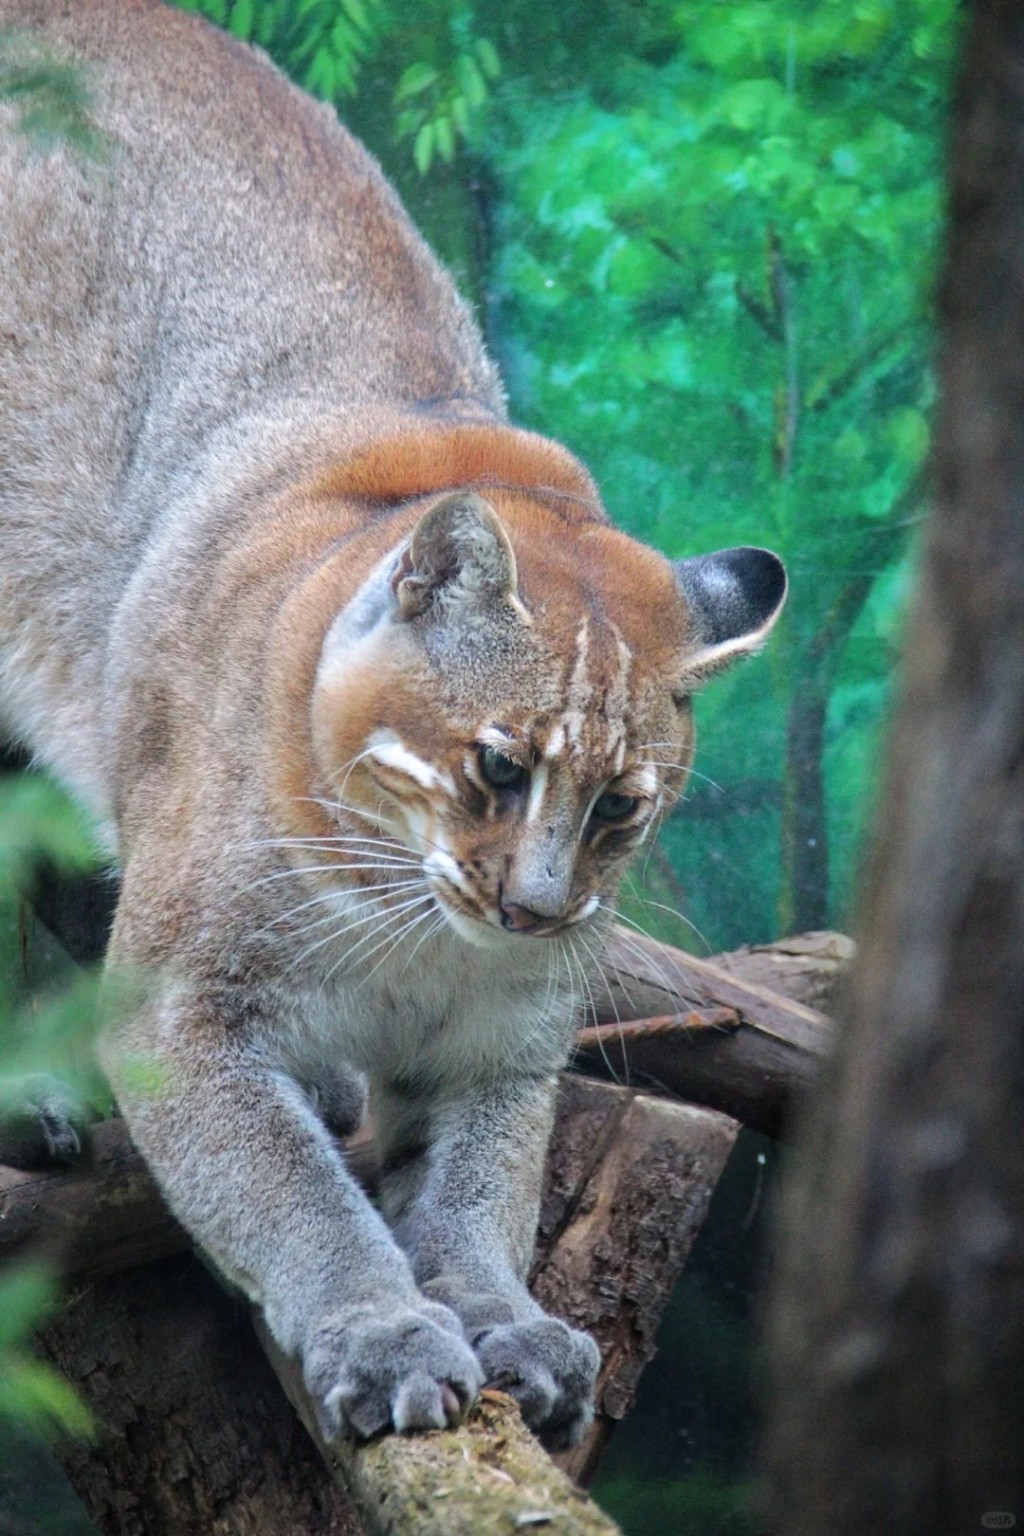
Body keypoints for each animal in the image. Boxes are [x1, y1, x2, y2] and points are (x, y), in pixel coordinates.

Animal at [0, 0, 786, 1443]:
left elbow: (478, 1192)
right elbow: (295, 1199)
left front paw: (501, 1315)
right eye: (498, 767)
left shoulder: (501, 1051)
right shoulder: (186, 1017)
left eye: (622, 808)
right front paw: (381, 1332)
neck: (408, 922)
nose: (535, 910)